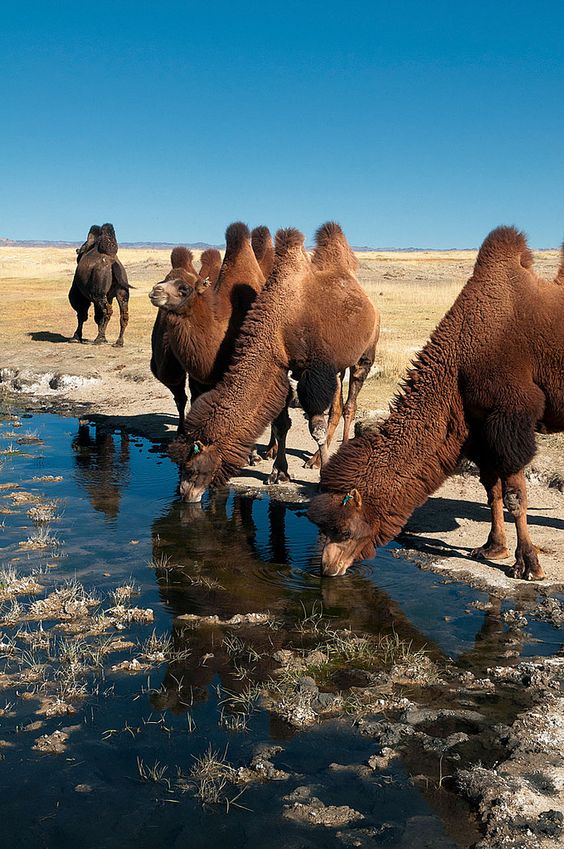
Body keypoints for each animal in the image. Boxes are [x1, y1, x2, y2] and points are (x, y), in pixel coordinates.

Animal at [176, 222, 378, 504]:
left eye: (191, 466)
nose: (185, 494)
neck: (279, 324)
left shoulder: (314, 371)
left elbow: (315, 427)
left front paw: (323, 478)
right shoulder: (280, 368)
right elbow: (282, 423)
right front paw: (278, 472)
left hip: (364, 355)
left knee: (350, 403)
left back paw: (332, 454)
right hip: (338, 367)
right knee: (338, 407)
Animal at [308, 227, 564, 584]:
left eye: (343, 531)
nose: (327, 569)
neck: (458, 366)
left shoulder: (509, 420)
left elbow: (515, 496)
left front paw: (527, 565)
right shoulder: (478, 428)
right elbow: (492, 489)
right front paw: (492, 548)